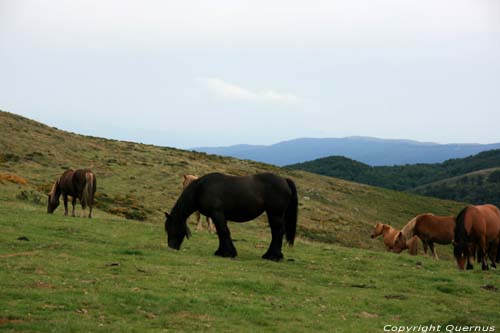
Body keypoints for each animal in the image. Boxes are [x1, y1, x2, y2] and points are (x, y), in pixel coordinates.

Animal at [164, 172, 296, 260]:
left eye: (171, 228)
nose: (171, 246)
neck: (201, 189)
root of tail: (284, 180)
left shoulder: (217, 214)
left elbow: (223, 232)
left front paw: (227, 253)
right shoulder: (218, 217)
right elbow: (221, 233)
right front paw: (222, 252)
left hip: (275, 214)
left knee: (278, 232)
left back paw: (272, 256)